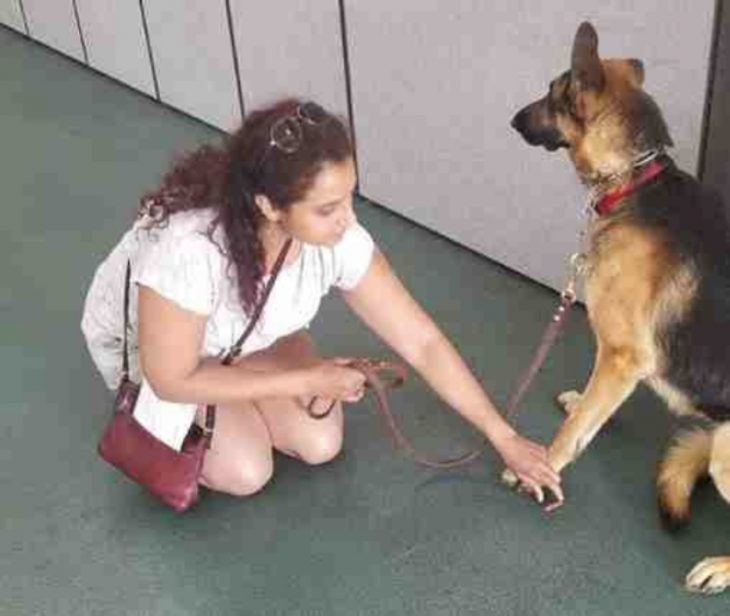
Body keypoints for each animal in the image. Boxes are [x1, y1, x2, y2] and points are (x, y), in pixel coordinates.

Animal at [510, 21, 728, 596]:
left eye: (552, 92)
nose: (512, 119)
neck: (634, 178)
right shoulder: (617, 361)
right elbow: (591, 408)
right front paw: (582, 408)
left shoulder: (624, 356)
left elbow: (574, 432)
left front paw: (538, 467)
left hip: (726, 450)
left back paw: (720, 566)